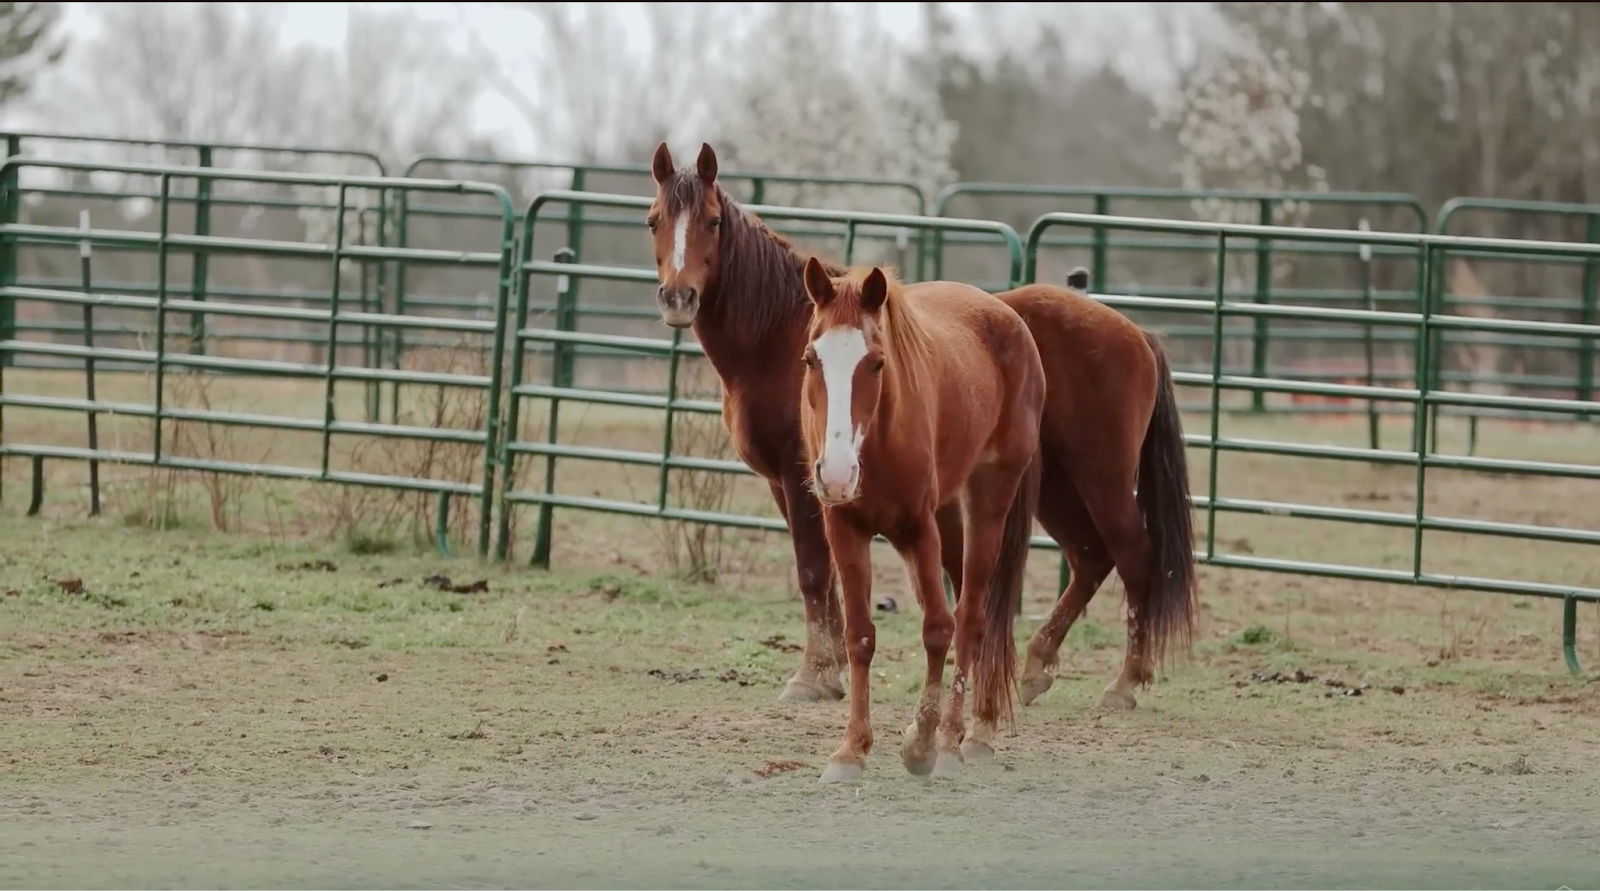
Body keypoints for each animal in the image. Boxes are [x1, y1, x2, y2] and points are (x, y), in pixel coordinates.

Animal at [644, 142, 1196, 715]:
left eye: (711, 221)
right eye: (653, 220)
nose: (678, 298)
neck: (783, 334)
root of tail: (1135, 332)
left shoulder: (801, 481)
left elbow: (813, 572)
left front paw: (812, 676)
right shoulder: (800, 484)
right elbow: (831, 580)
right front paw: (833, 669)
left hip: (1101, 476)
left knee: (1134, 556)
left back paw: (1125, 682)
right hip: (1054, 485)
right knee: (1090, 556)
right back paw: (1036, 667)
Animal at [798, 259, 1043, 781]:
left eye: (876, 362)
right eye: (811, 358)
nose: (836, 473)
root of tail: (1005, 314)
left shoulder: (919, 529)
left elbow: (937, 628)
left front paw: (922, 744)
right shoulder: (845, 530)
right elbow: (860, 636)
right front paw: (851, 750)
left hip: (987, 501)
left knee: (971, 617)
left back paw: (955, 740)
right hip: (948, 517)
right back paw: (974, 729)